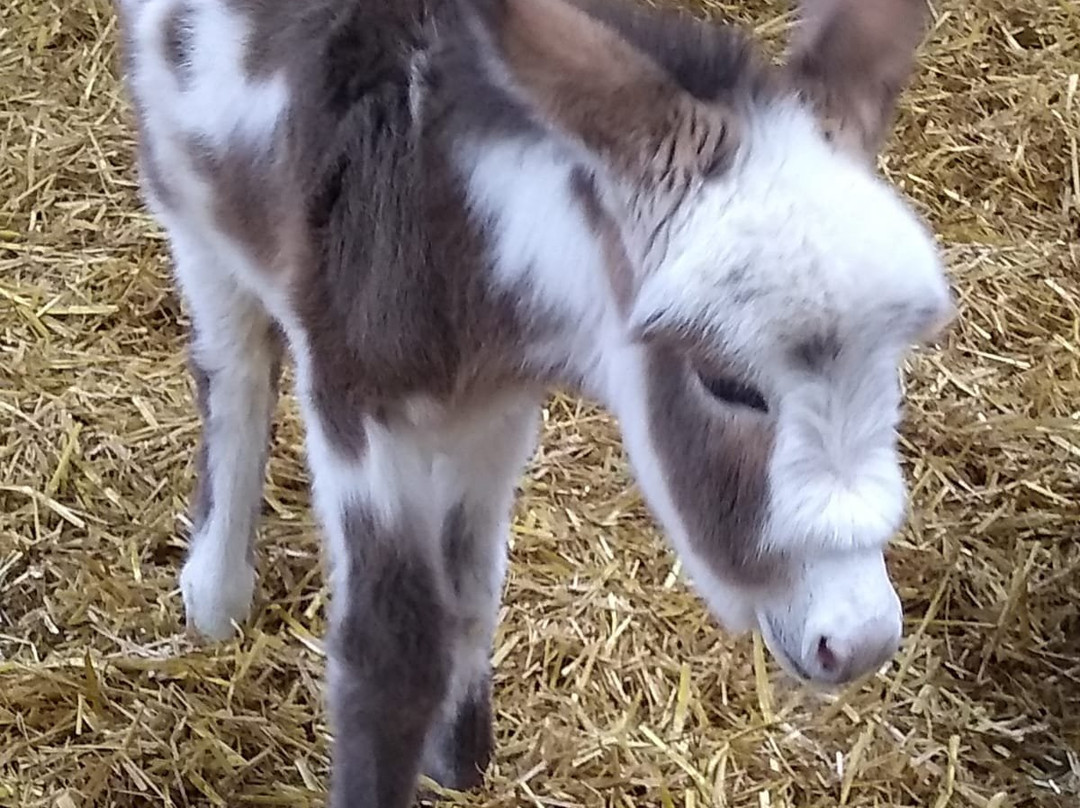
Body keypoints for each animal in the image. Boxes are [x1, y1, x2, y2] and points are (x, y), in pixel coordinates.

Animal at [118, 0, 954, 803]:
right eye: (727, 385)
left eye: (893, 363)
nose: (859, 640)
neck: (445, 219)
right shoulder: (357, 412)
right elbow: (391, 650)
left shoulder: (497, 415)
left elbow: (472, 587)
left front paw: (459, 755)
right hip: (188, 207)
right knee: (233, 370)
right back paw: (215, 593)